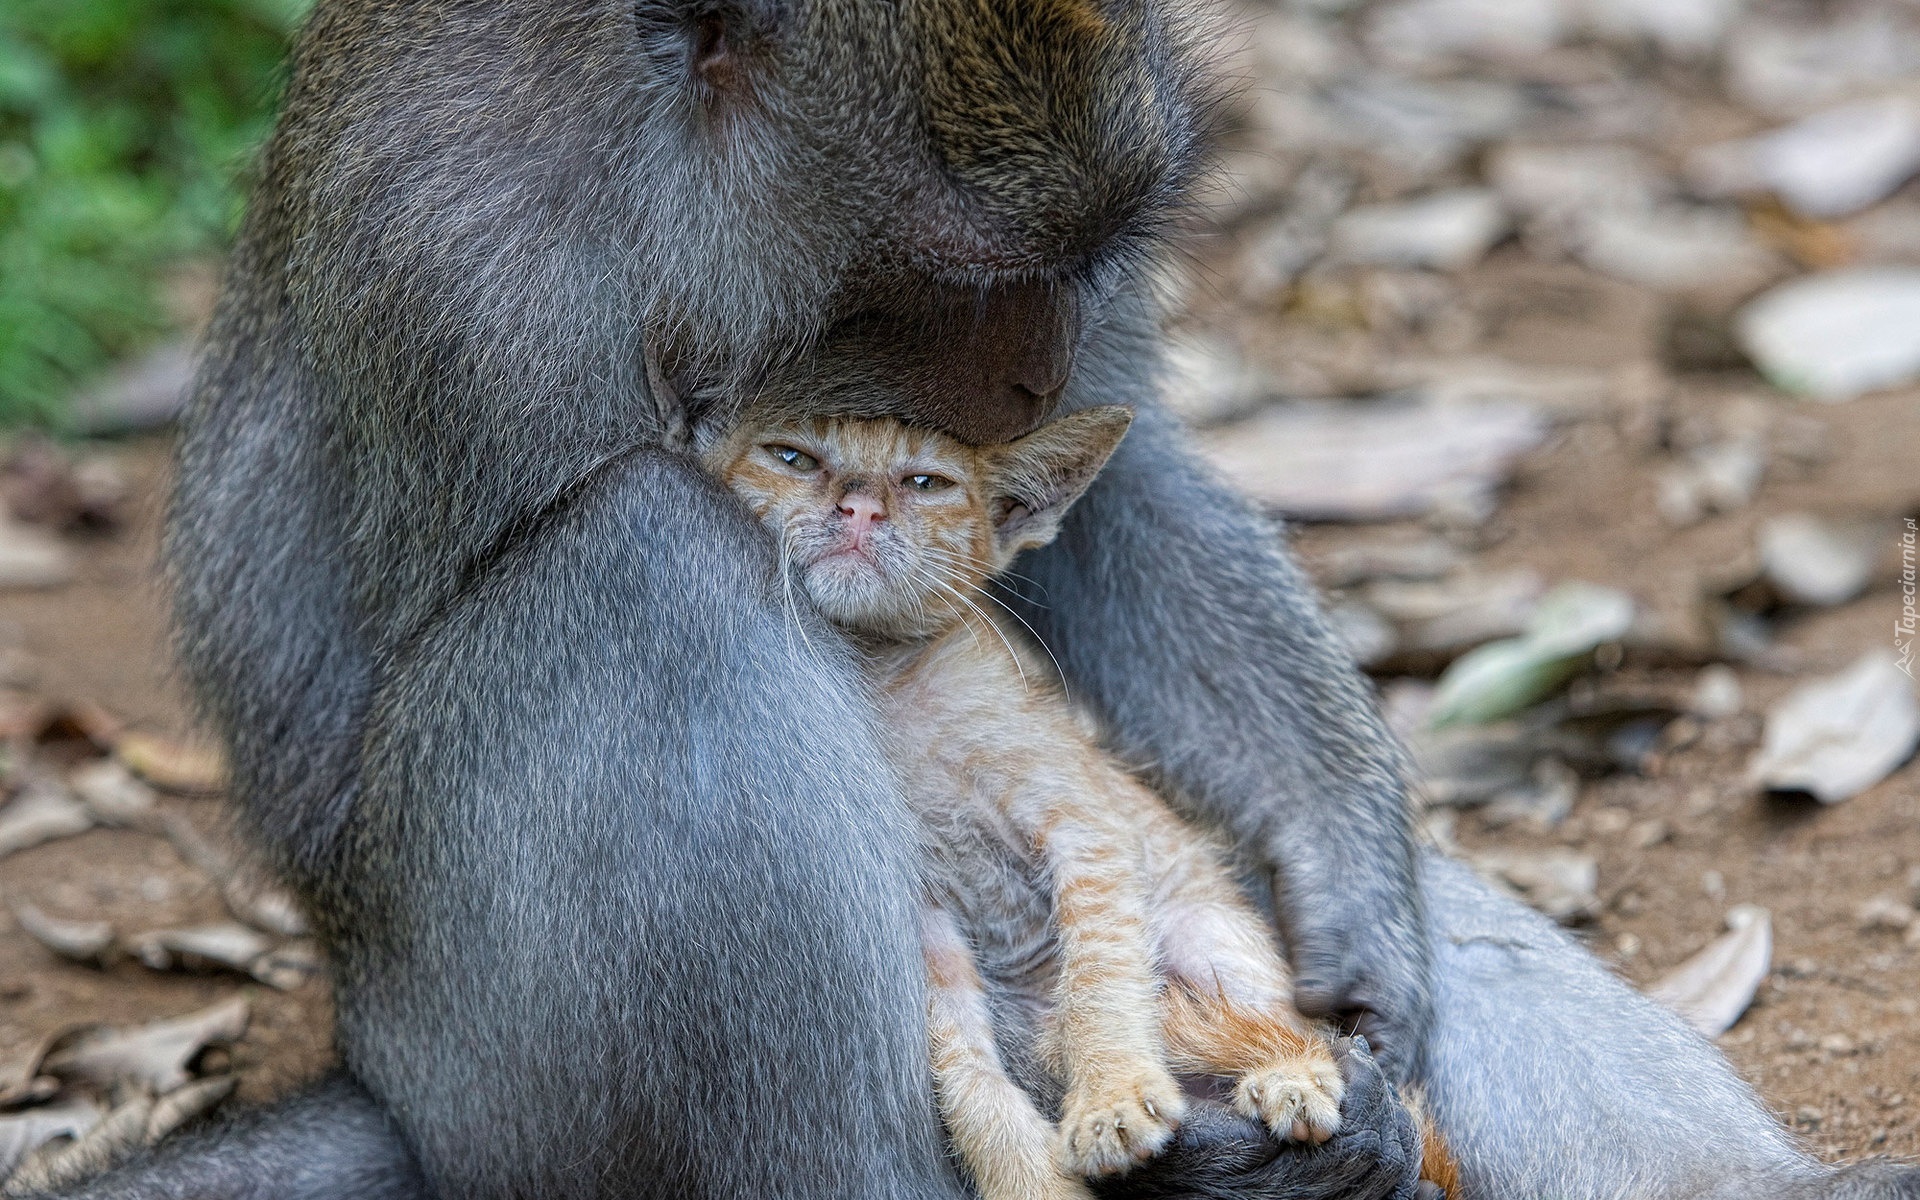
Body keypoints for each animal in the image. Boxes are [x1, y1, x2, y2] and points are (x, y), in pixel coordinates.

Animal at [706, 408, 1351, 1198]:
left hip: (1203, 928)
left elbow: (1099, 982)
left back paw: (1293, 1077)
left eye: (927, 482)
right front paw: (1031, 1176)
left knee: (1299, 1026)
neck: (885, 681)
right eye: (792, 457)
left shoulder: (1085, 828)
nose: (857, 508)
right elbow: (966, 1073)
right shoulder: (927, 923)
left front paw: (1111, 1098)